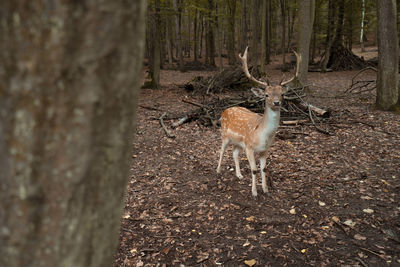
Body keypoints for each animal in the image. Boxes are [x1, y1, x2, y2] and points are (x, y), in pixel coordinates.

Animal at [217, 47, 298, 198]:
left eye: (282, 94)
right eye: (266, 94)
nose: (276, 102)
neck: (262, 136)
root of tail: (225, 110)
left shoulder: (265, 150)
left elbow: (264, 169)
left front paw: (265, 189)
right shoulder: (249, 147)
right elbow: (254, 169)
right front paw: (254, 192)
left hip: (238, 142)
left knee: (234, 153)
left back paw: (239, 175)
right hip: (224, 134)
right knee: (222, 150)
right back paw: (218, 170)